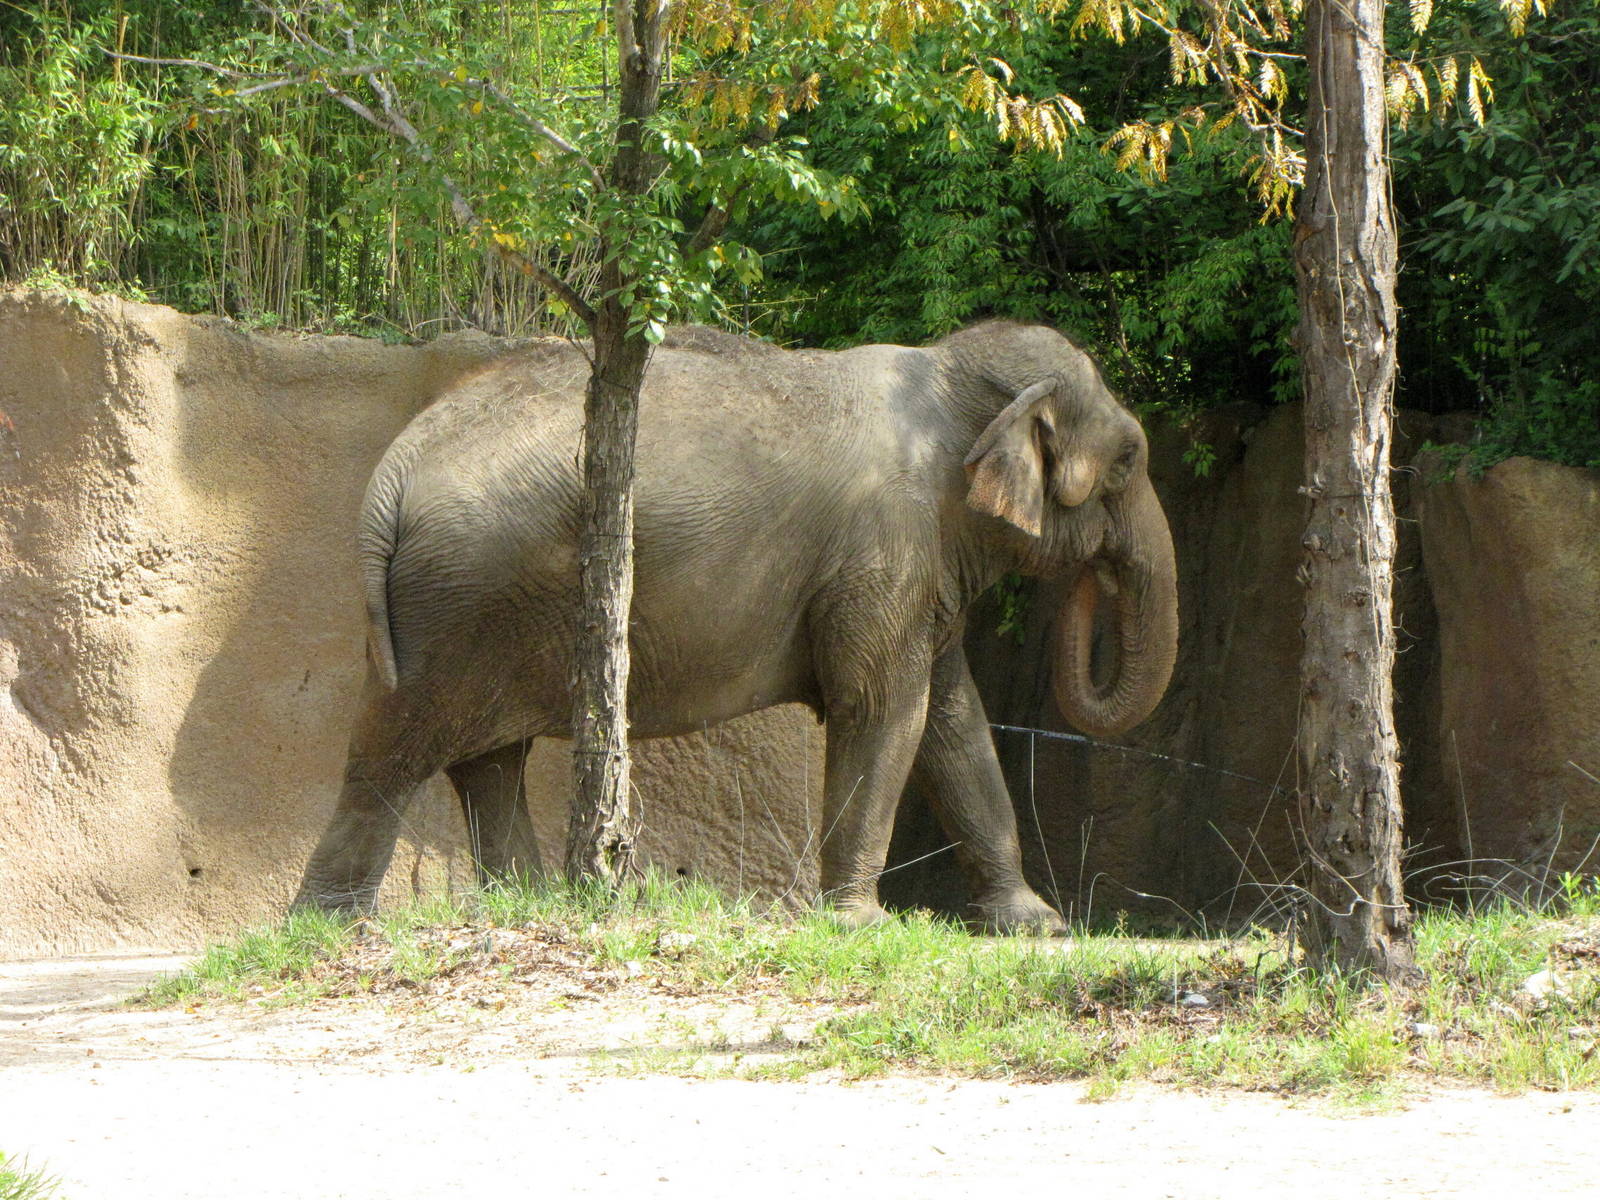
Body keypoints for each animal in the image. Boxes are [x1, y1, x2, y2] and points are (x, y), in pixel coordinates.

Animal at [294, 320, 1179, 933]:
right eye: (1130, 460)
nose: (1094, 577)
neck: (949, 372)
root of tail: (394, 466)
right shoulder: (882, 548)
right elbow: (886, 709)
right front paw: (862, 924)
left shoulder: (914, 563)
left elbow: (954, 721)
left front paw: (1038, 929)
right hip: (457, 599)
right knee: (391, 755)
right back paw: (330, 927)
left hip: (472, 601)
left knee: (486, 761)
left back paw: (534, 904)